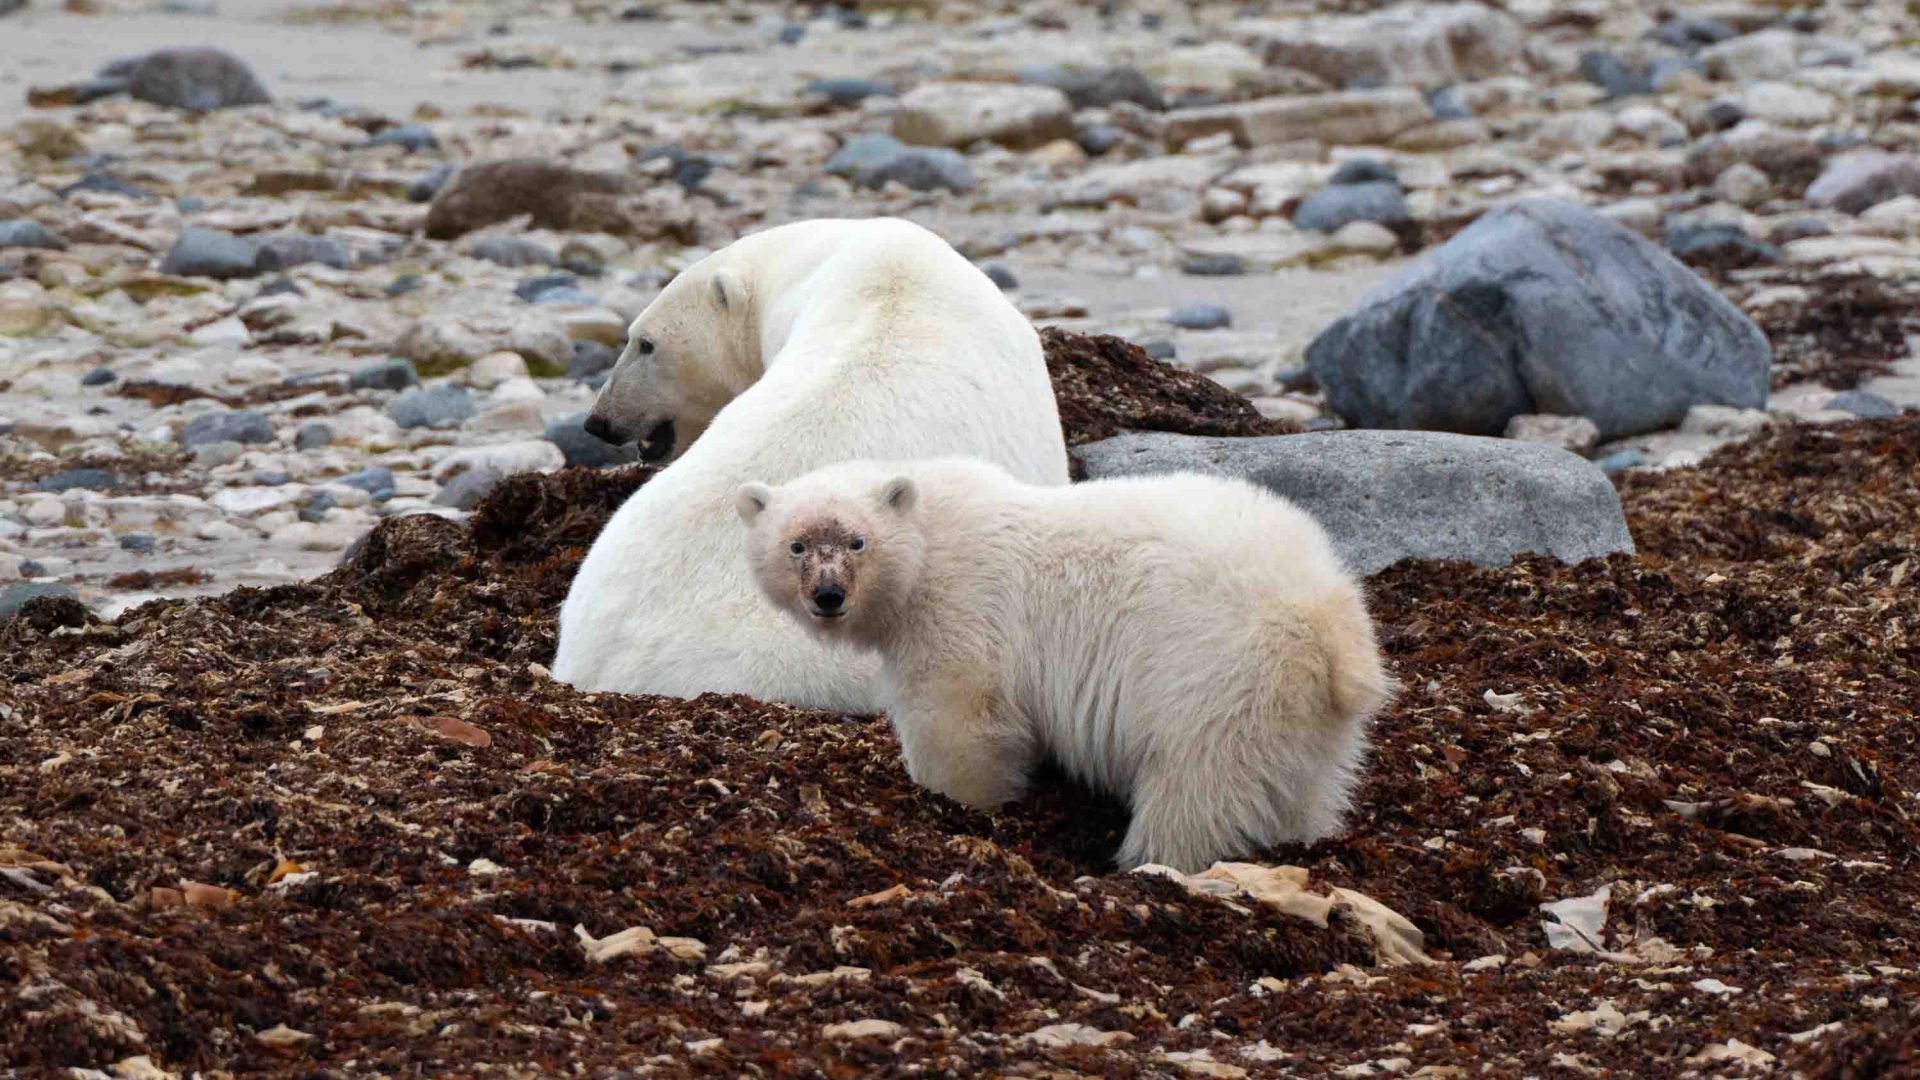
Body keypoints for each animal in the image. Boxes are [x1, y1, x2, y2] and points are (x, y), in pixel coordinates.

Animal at [734, 457, 1394, 872]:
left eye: (857, 542)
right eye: (796, 544)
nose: (828, 596)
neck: (932, 532)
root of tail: (1330, 621)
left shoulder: (963, 609)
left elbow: (962, 719)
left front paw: (954, 800)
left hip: (1216, 671)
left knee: (1199, 784)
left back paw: (1150, 860)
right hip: (1305, 706)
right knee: (1303, 780)